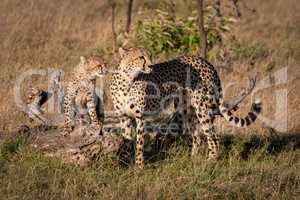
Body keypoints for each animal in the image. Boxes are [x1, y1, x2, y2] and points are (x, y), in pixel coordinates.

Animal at [109, 47, 260, 167]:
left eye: (149, 55)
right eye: (141, 57)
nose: (151, 66)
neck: (127, 81)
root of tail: (205, 61)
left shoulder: (142, 117)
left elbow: (139, 144)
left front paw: (139, 166)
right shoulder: (124, 117)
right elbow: (127, 141)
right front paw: (126, 163)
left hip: (202, 108)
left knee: (213, 137)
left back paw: (210, 161)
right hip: (186, 110)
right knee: (197, 136)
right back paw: (192, 159)